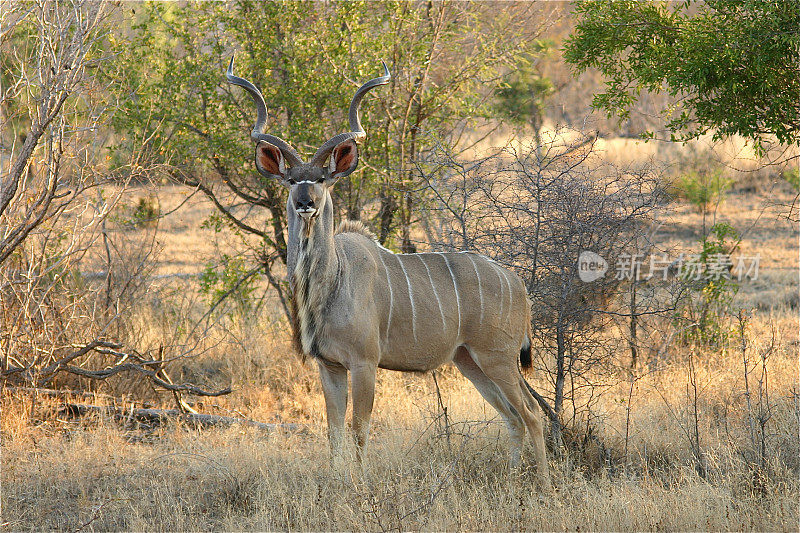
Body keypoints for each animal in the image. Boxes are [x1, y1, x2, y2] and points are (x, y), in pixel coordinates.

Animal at [225, 57, 552, 486]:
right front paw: (336, 484)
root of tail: (517, 283)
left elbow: (359, 428)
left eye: (322, 179)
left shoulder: (364, 363)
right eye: (292, 180)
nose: (306, 202)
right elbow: (333, 431)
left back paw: (546, 486)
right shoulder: (330, 367)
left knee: (531, 413)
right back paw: (514, 483)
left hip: (498, 358)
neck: (333, 280)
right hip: (469, 361)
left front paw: (362, 486)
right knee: (512, 416)